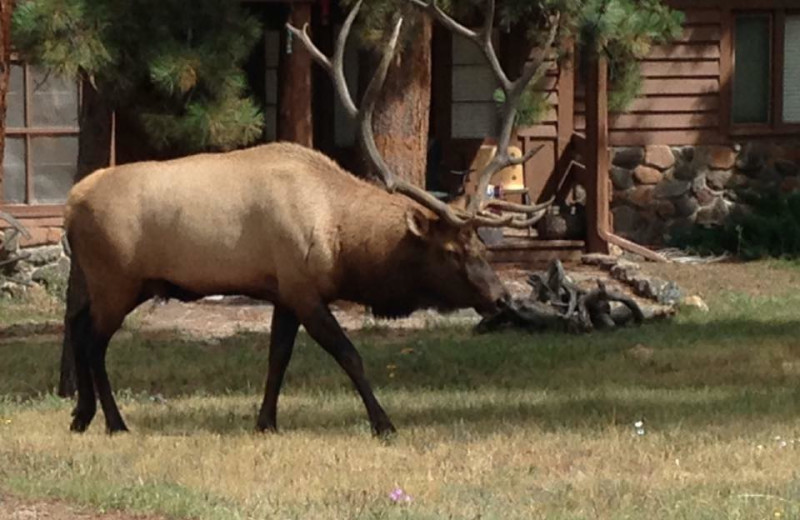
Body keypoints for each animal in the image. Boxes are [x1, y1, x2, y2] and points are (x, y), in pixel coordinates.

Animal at [64, 0, 556, 434]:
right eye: (453, 250)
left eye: (480, 246)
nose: (501, 298)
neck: (341, 240)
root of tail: (71, 202)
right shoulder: (303, 287)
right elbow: (349, 354)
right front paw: (383, 423)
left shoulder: (282, 290)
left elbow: (277, 359)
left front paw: (266, 422)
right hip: (118, 279)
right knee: (92, 340)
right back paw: (113, 421)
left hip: (103, 279)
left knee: (76, 323)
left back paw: (81, 415)